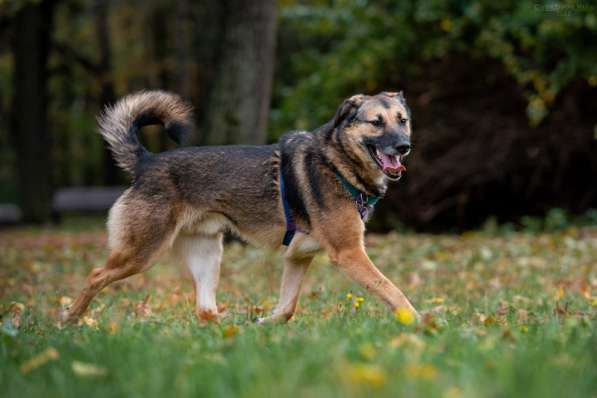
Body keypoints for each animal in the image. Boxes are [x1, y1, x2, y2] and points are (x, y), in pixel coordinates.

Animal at [62, 90, 416, 324]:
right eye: (376, 122)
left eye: (403, 121)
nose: (404, 146)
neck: (338, 163)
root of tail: (147, 162)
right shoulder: (349, 253)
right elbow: (392, 290)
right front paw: (420, 323)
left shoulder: (298, 256)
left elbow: (286, 309)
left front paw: (262, 327)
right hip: (142, 252)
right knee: (95, 275)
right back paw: (68, 320)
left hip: (207, 256)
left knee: (205, 309)